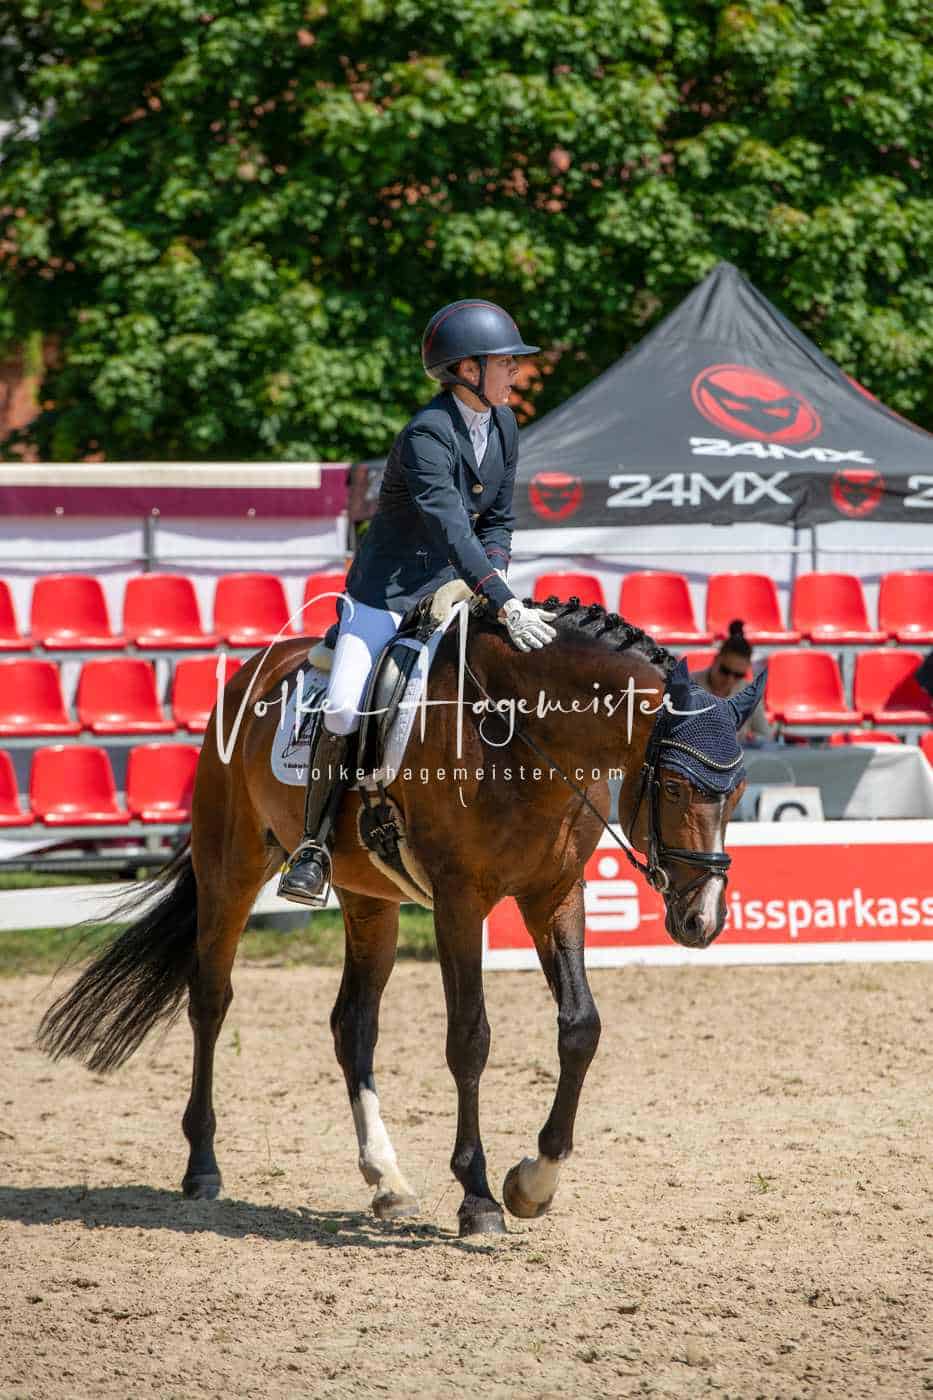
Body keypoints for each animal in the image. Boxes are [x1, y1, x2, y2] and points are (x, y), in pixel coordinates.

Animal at [37, 597, 761, 1237]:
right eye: (674, 787)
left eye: (739, 792)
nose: (701, 921)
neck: (524, 731)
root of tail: (250, 673)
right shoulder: (459, 902)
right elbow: (469, 1038)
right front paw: (478, 1198)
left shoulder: (554, 893)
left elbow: (580, 1028)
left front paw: (532, 1183)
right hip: (230, 870)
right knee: (210, 1000)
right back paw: (203, 1167)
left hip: (369, 899)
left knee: (352, 1024)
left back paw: (385, 1178)